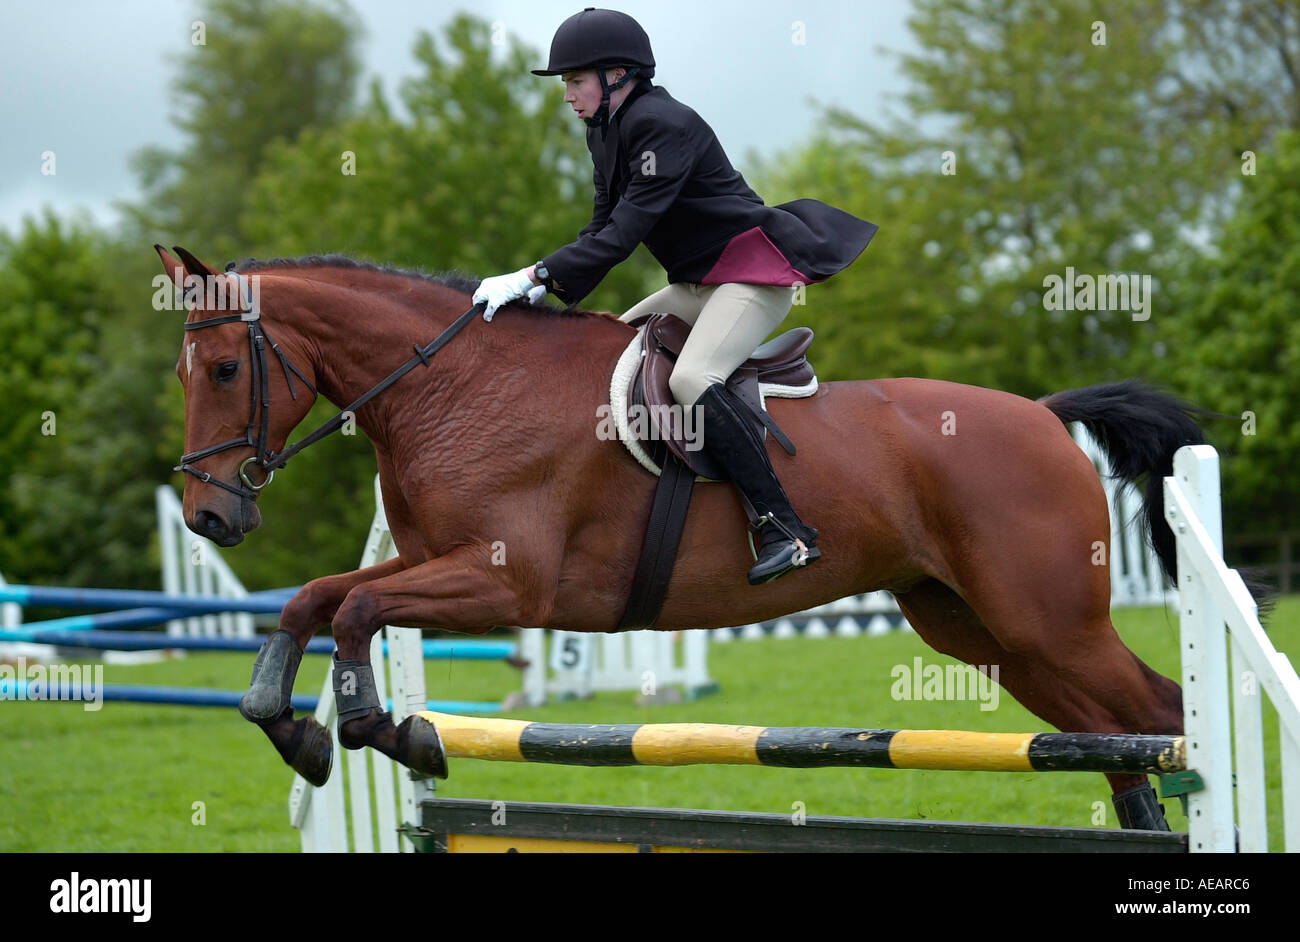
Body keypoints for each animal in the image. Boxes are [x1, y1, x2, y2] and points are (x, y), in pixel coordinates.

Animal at [157, 245, 1206, 830]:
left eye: (223, 368)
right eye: (185, 373)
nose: (211, 516)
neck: (450, 387)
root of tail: (1044, 414)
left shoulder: (504, 585)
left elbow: (358, 608)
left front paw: (393, 732)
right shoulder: (432, 563)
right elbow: (317, 602)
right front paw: (293, 728)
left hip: (1048, 623)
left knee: (1162, 711)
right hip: (981, 631)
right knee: (1113, 734)